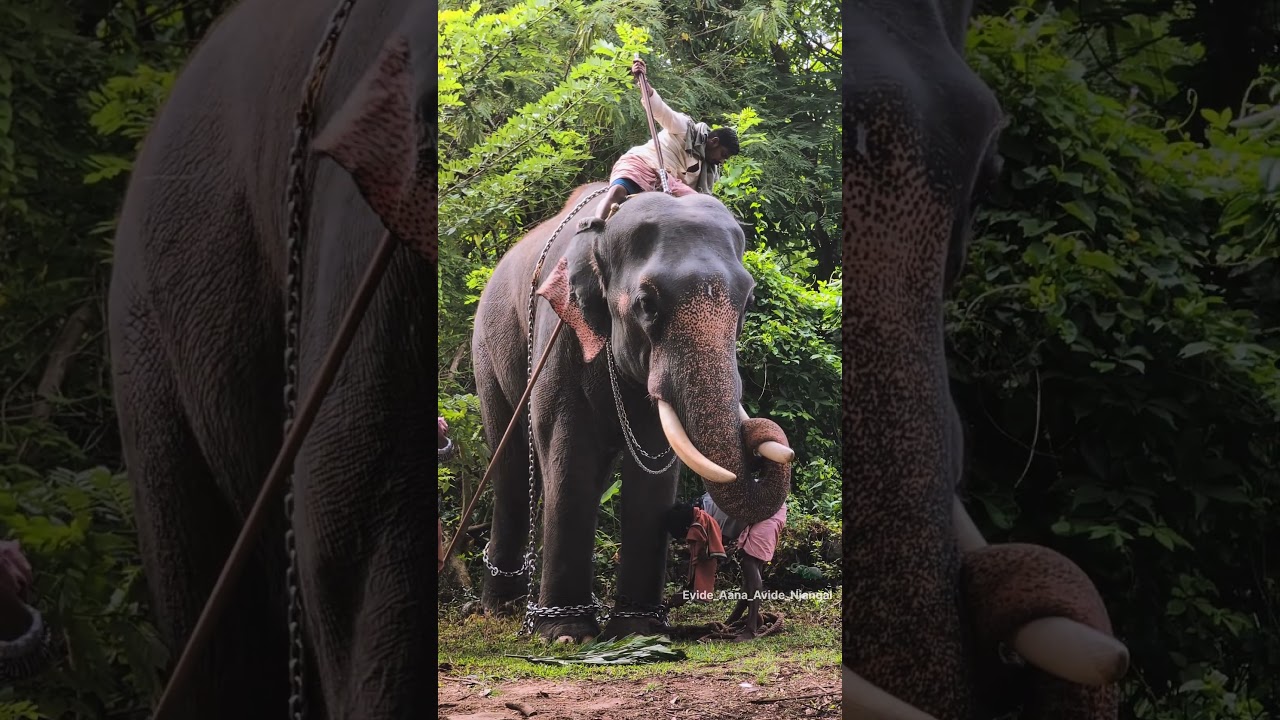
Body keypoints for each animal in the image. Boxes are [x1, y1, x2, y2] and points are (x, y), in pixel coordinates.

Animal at [472, 182, 795, 643]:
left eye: (748, 301)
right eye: (646, 303)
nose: (759, 446)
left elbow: (654, 467)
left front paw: (638, 630)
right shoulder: (560, 334)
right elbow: (569, 452)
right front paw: (567, 633)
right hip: (488, 349)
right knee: (512, 463)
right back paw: (502, 606)